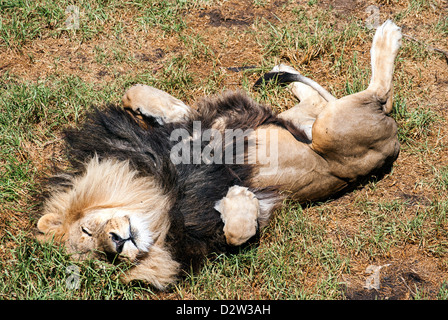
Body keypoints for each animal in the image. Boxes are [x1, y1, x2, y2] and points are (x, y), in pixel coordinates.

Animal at [37, 21, 402, 288]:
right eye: (105, 259)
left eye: (88, 232)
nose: (116, 242)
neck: (160, 205)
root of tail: (392, 141)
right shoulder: (214, 237)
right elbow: (238, 233)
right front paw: (239, 202)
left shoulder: (182, 135)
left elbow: (147, 97)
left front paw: (153, 103)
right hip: (326, 129)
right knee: (344, 100)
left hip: (326, 127)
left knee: (377, 94)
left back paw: (385, 36)